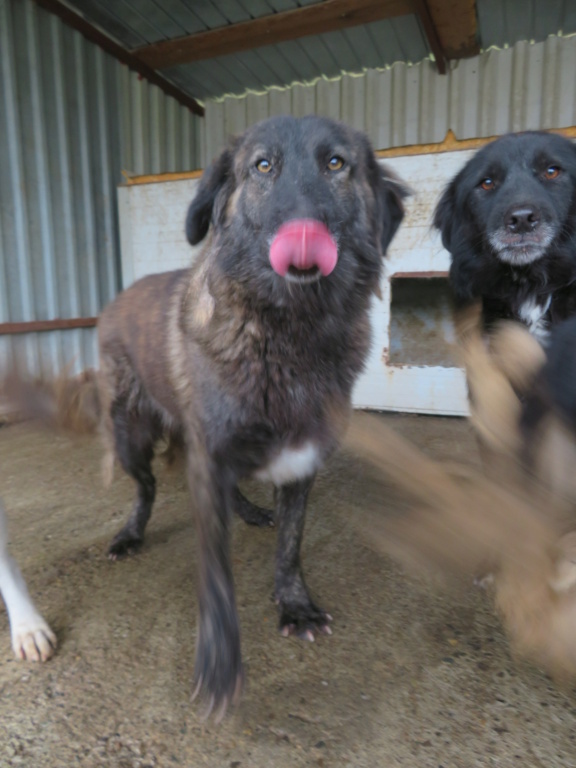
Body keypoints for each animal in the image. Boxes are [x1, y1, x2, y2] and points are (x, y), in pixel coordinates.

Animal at [73, 117, 404, 716]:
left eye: (336, 163)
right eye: (262, 166)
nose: (303, 231)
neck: (289, 330)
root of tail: (116, 299)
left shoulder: (301, 458)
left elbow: (291, 544)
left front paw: (294, 605)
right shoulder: (209, 460)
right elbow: (216, 575)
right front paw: (220, 663)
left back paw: (248, 512)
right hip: (131, 433)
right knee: (146, 488)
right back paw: (130, 534)